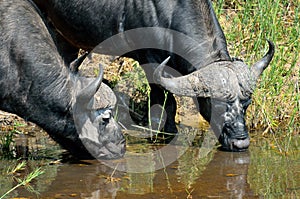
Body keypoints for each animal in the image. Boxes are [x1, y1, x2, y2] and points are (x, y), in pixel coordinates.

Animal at [31, 0, 274, 151]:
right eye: (218, 105)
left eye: (247, 104)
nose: (241, 144)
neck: (169, 11)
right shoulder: (150, 61)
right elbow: (165, 104)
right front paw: (164, 134)